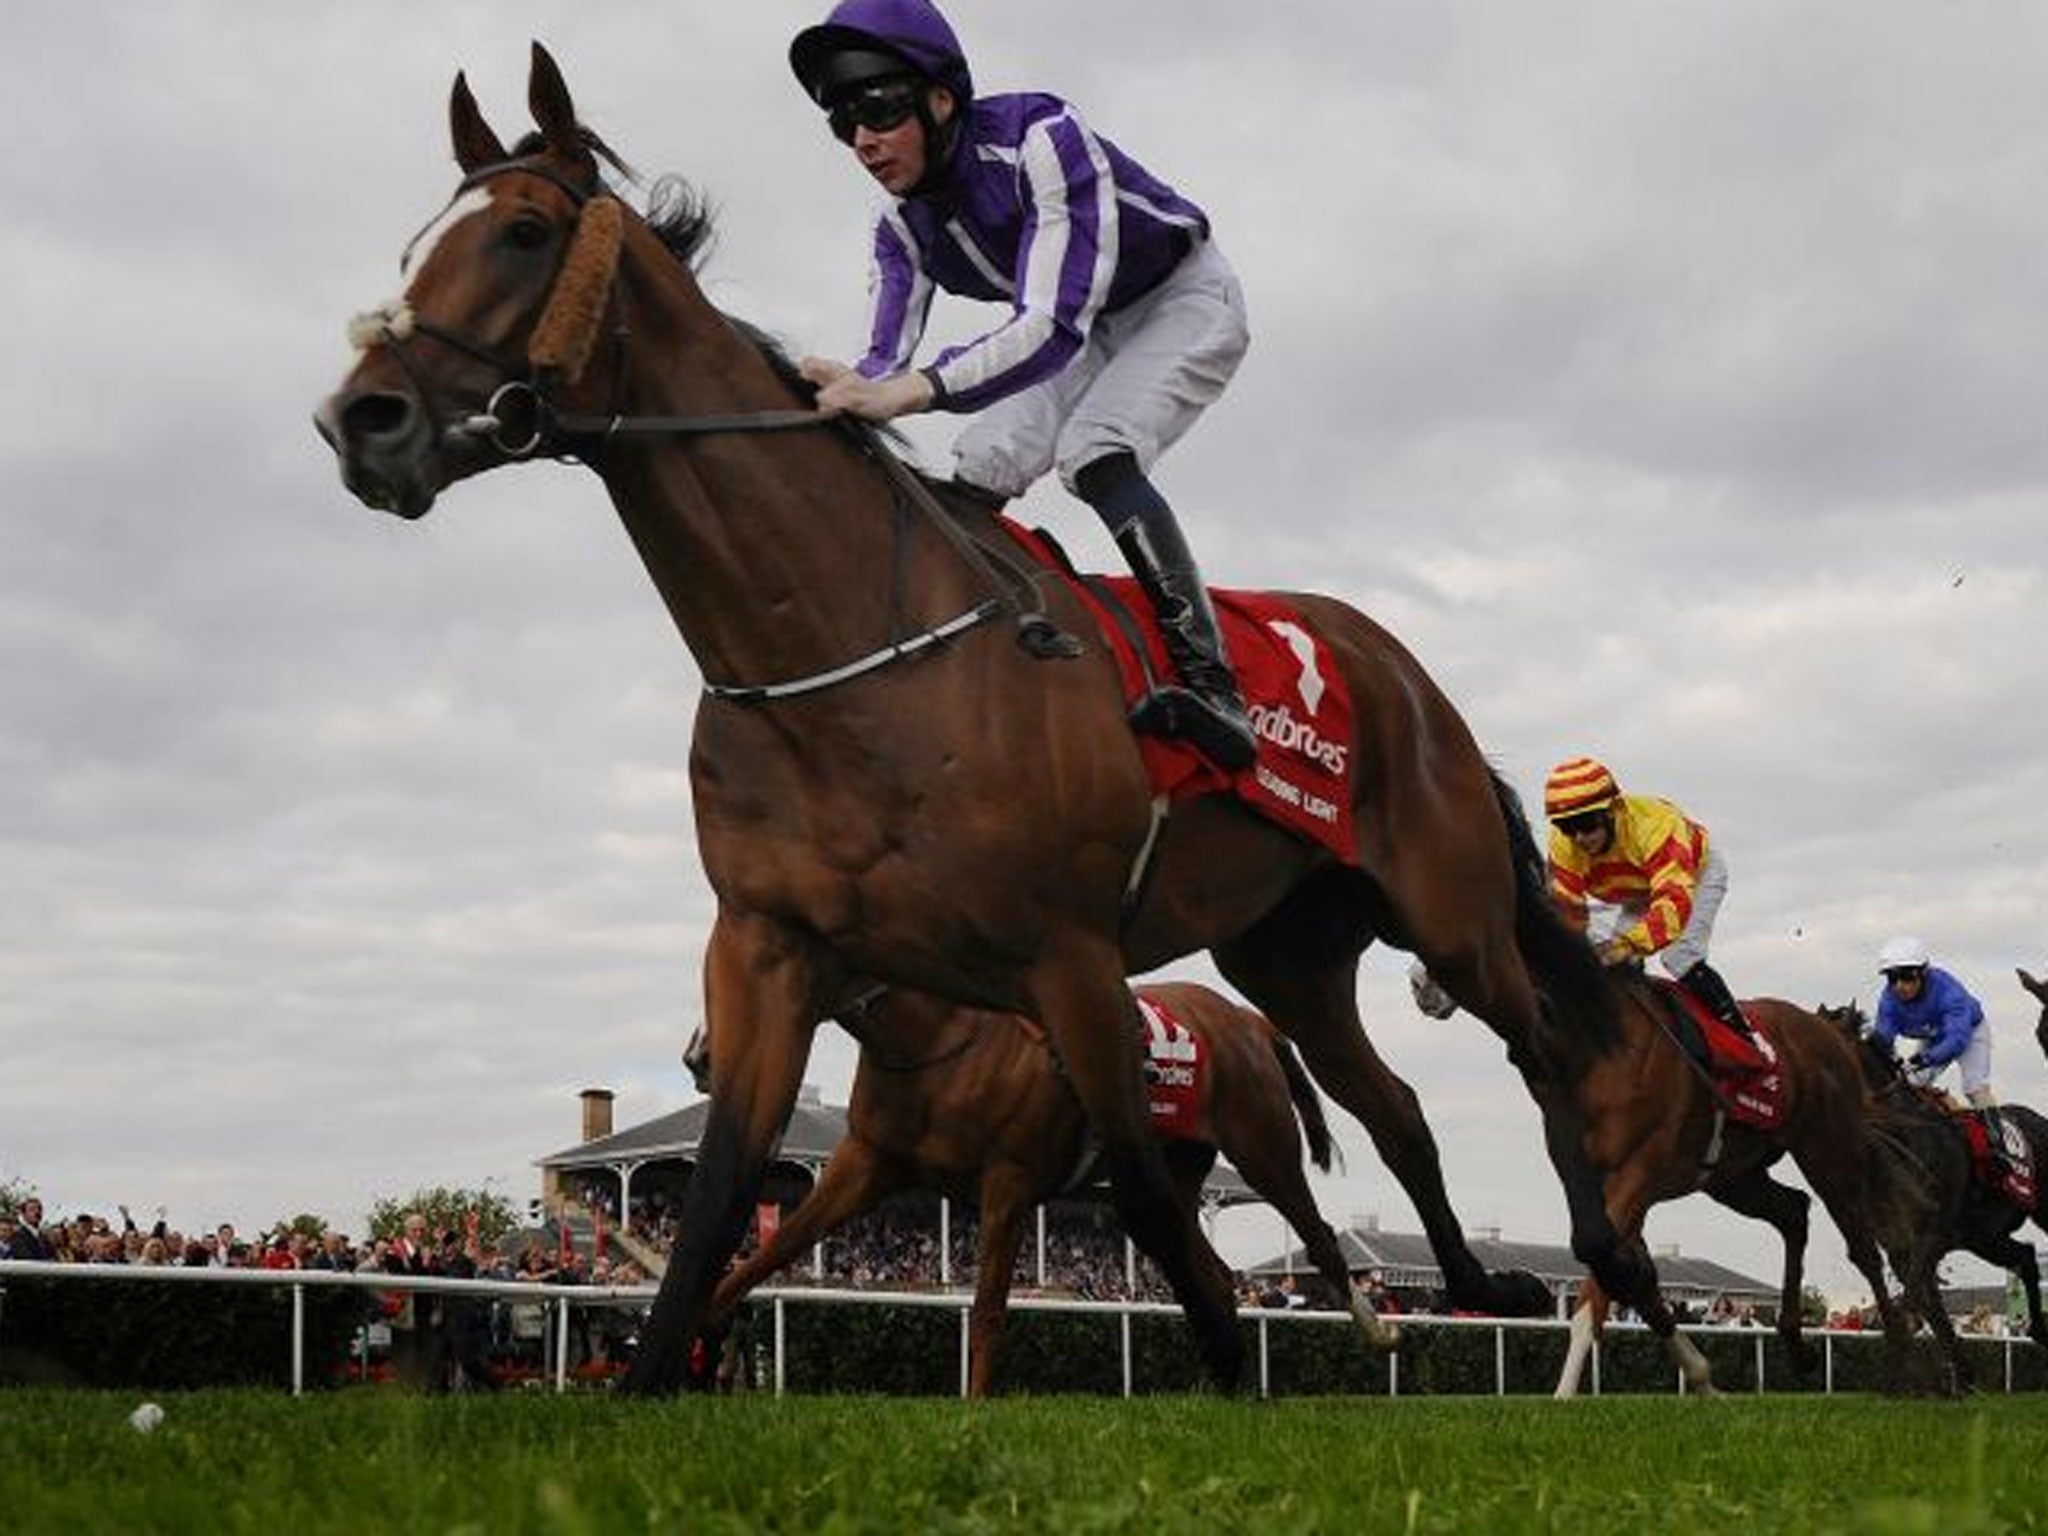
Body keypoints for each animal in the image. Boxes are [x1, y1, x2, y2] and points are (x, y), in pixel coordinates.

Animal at [696, 987, 1400, 1392]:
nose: (700, 1058)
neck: (940, 1035)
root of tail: (1251, 1021)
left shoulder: (1008, 1180)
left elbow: (987, 1307)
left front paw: (976, 1406)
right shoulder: (866, 1162)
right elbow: (776, 1246)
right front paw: (704, 1322)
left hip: (1262, 1148)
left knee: (1317, 1236)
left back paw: (1376, 1331)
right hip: (1173, 1174)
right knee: (1211, 1273)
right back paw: (1224, 1380)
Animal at [1556, 978, 1908, 1400]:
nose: (1892, 1089)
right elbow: (1633, 1277)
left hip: (1800, 1163)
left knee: (1856, 1244)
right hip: (1738, 1180)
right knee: (1800, 1213)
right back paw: (1807, 1344)